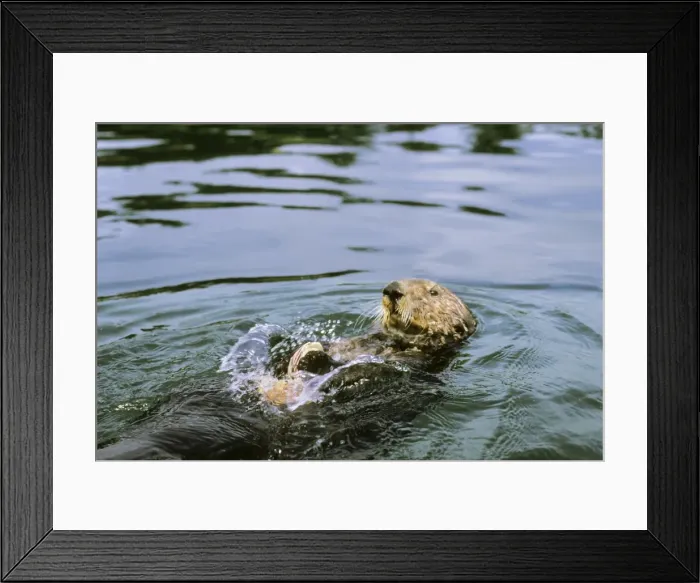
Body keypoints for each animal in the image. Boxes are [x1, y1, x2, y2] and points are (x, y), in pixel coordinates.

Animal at [259, 279, 477, 407]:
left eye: (433, 293)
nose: (392, 290)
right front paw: (289, 358)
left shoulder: (417, 362)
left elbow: (371, 371)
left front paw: (320, 365)